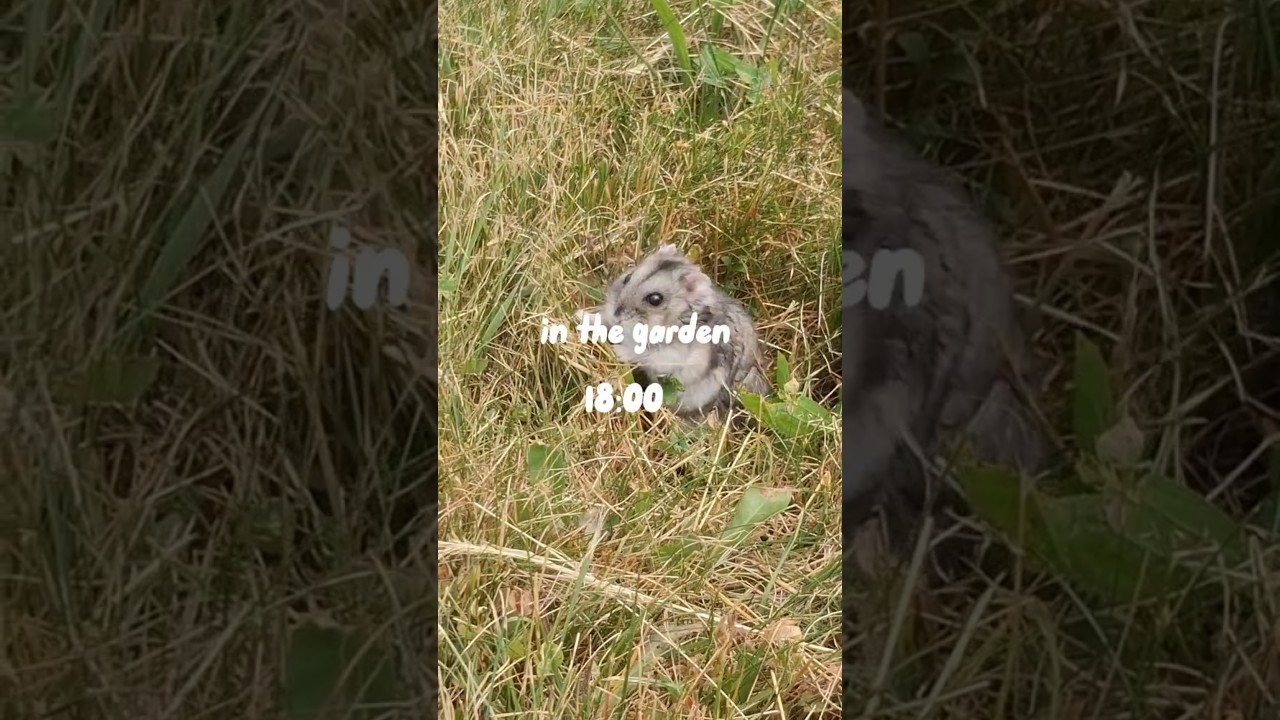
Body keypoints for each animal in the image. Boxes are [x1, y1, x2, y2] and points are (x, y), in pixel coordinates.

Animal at [584, 244, 769, 424]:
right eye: (628, 277)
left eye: (655, 299)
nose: (616, 315)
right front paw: (582, 315)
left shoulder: (671, 356)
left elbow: (643, 354)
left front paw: (618, 350)